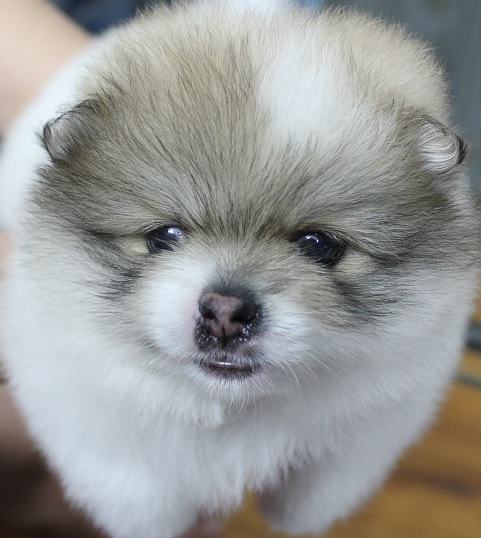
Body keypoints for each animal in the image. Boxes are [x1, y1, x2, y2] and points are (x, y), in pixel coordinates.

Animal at [1, 0, 479, 536]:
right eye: (164, 236)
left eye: (319, 245)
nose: (225, 311)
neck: (236, 408)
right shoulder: (85, 412)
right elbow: (138, 491)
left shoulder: (381, 411)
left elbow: (322, 483)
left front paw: (293, 512)